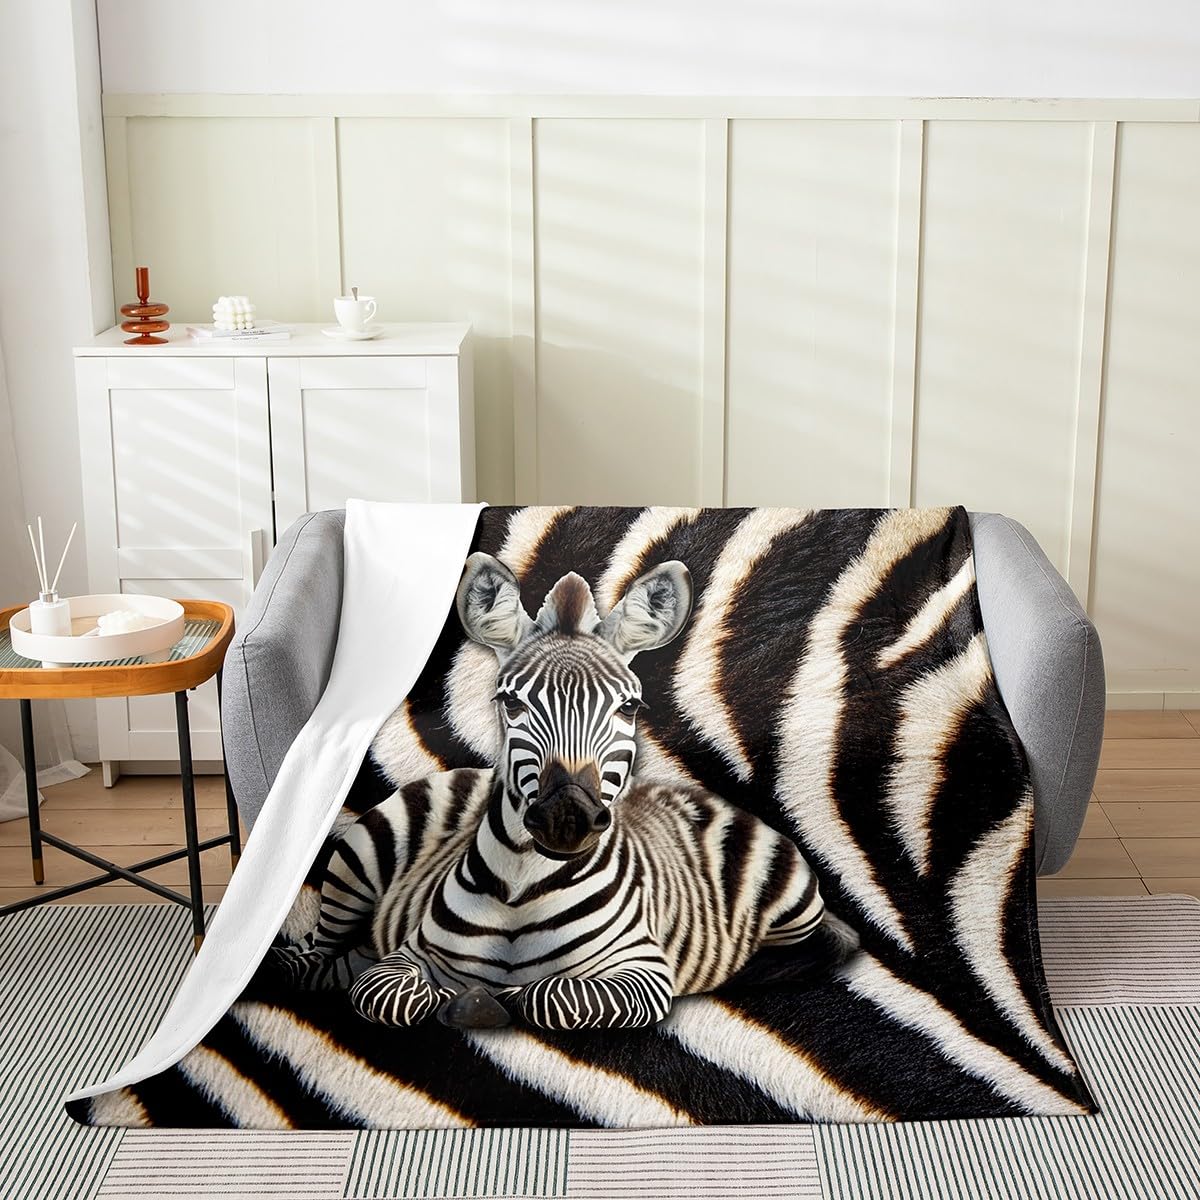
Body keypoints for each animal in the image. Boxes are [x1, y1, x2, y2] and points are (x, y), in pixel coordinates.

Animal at [268, 552, 858, 1031]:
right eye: (509, 702)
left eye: (629, 707)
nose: (565, 817)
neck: (521, 890)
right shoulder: (406, 953)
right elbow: (387, 995)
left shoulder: (644, 972)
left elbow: (552, 997)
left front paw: (492, 998)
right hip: (356, 865)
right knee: (320, 953)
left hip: (793, 906)